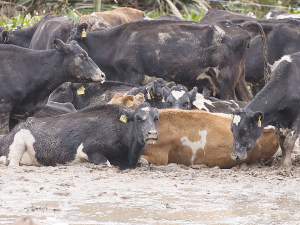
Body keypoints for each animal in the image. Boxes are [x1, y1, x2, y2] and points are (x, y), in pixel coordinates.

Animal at [0, 103, 159, 170]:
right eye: (138, 118)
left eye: (156, 118)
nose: (152, 133)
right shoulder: (87, 149)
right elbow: (106, 163)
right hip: (17, 144)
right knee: (12, 164)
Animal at [67, 20, 268, 101]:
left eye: (73, 42)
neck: (116, 43)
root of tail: (239, 27)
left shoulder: (132, 74)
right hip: (238, 77)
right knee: (248, 98)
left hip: (226, 78)